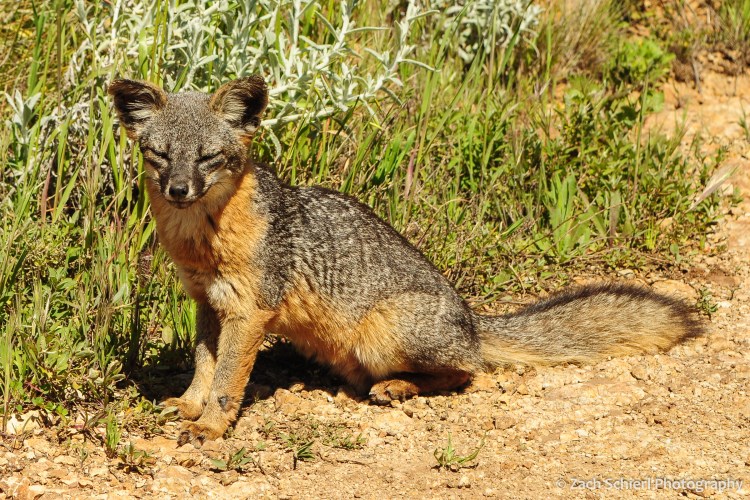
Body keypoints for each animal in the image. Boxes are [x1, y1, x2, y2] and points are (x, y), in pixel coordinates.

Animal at [108, 75, 703, 445]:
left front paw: (211, 427)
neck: (206, 240)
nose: (180, 189)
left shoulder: (250, 313)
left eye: (209, 158)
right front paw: (189, 407)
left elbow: (228, 380)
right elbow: (203, 368)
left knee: (470, 372)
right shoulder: (209, 305)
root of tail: (473, 319)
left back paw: (398, 388)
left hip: (382, 332)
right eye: (160, 156)